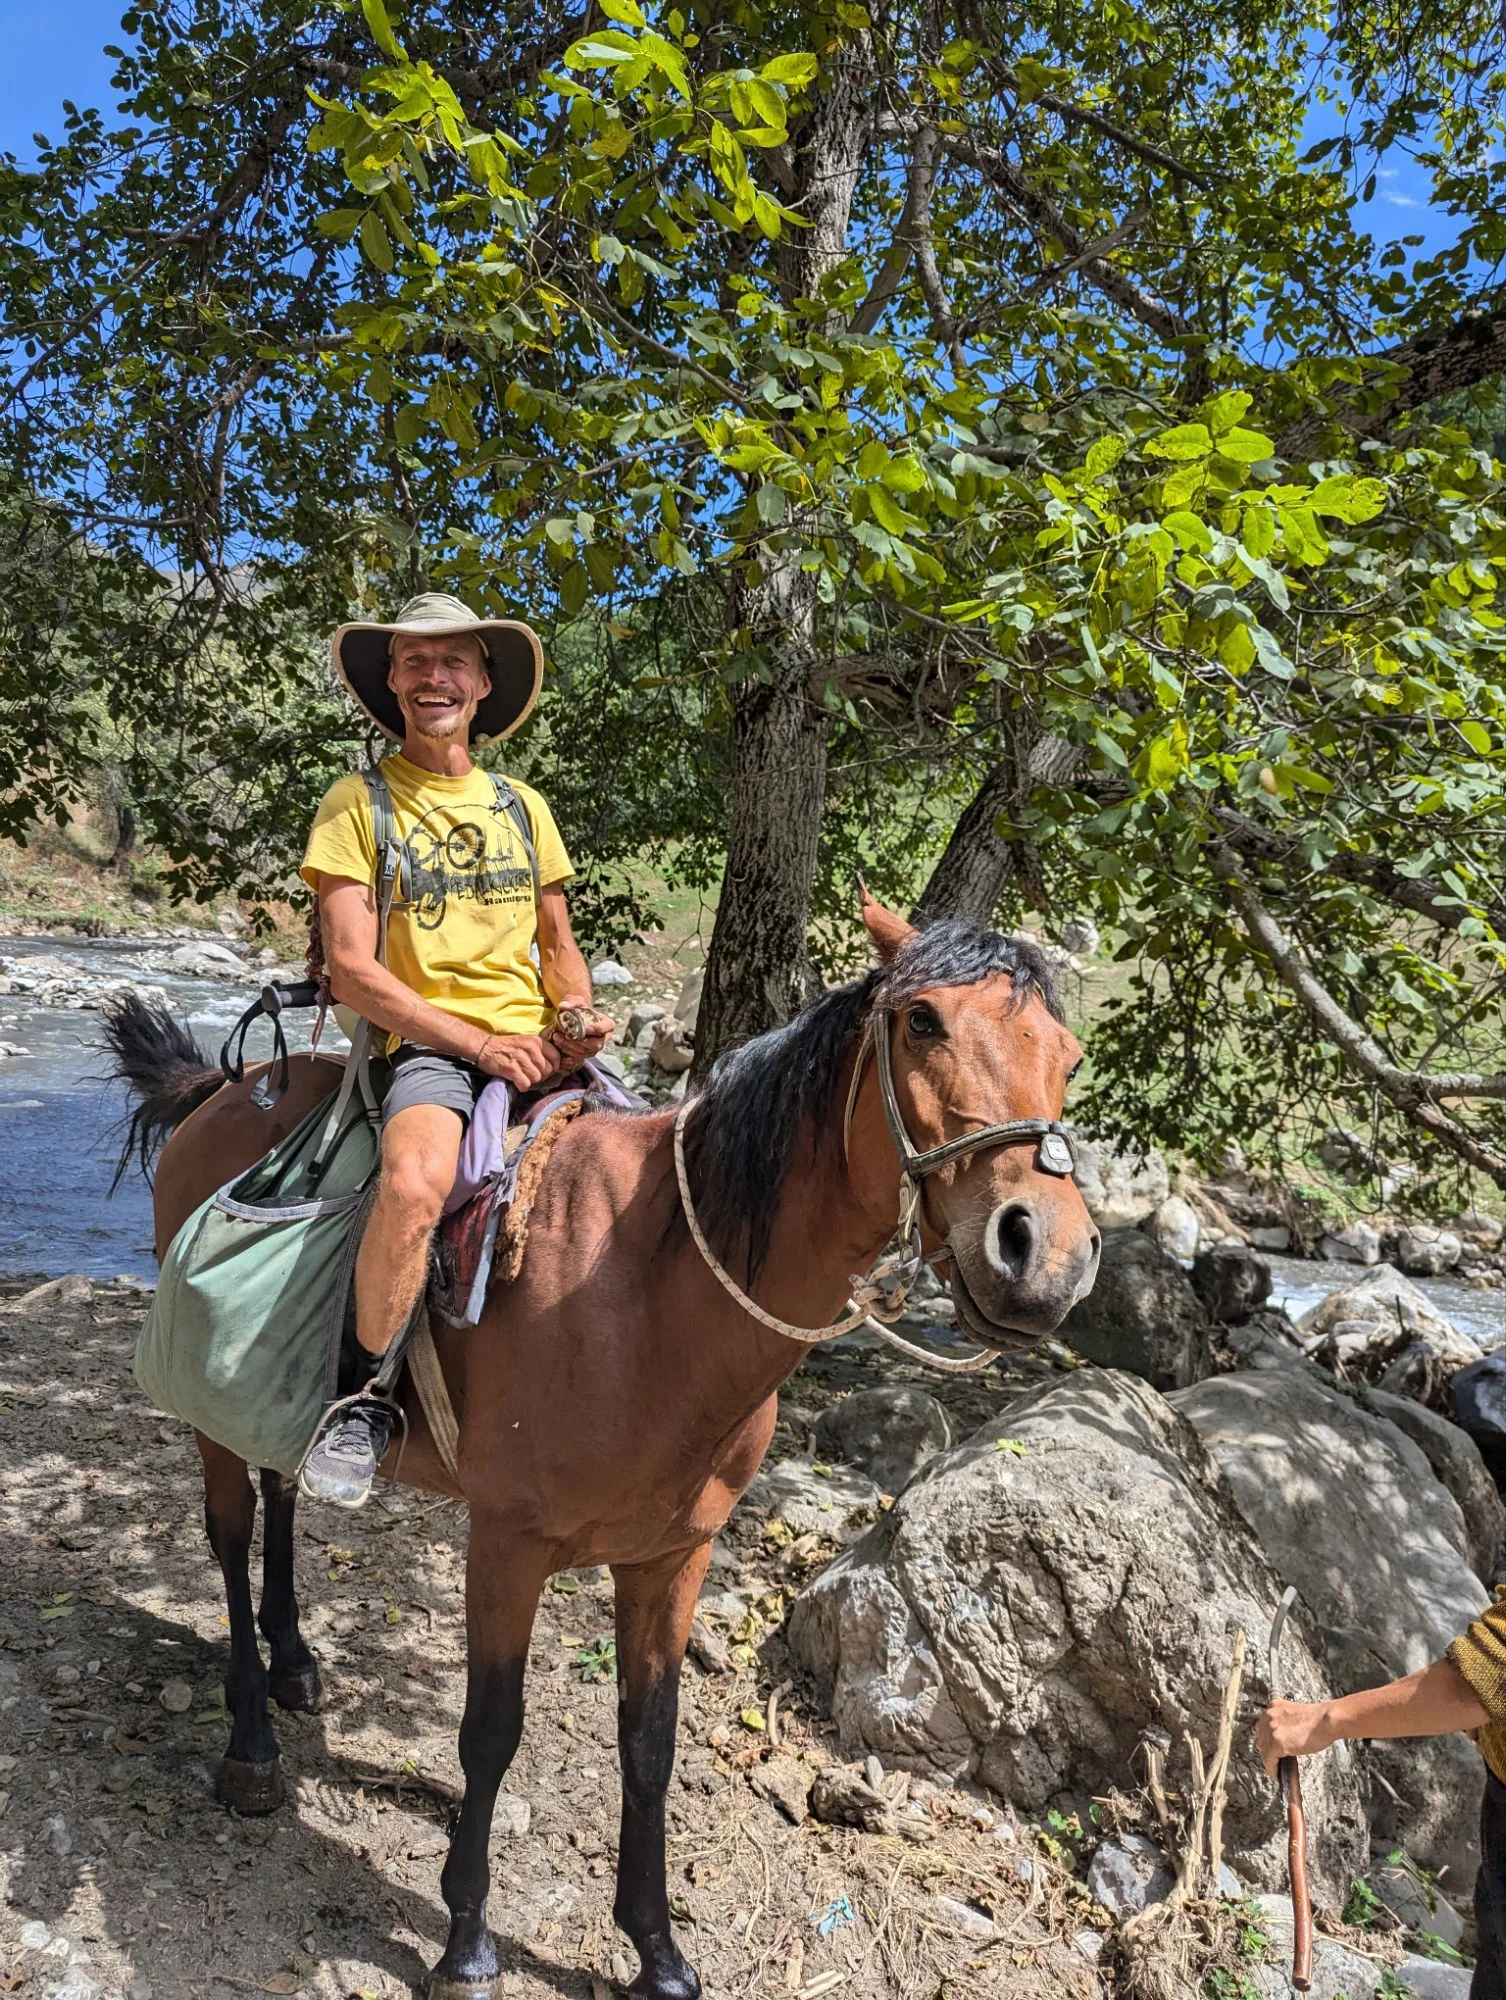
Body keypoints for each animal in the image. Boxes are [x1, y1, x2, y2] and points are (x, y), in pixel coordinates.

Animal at [104, 894, 1100, 2000]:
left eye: (1068, 1055)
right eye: (923, 1021)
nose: (1045, 1255)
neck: (652, 1293)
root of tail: (223, 1088)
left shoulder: (672, 1557)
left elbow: (649, 1741)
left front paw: (656, 1948)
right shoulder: (506, 1546)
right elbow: (490, 1732)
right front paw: (467, 1940)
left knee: (281, 1493)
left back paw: (295, 1661)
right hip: (213, 1411)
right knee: (232, 1531)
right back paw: (250, 1742)